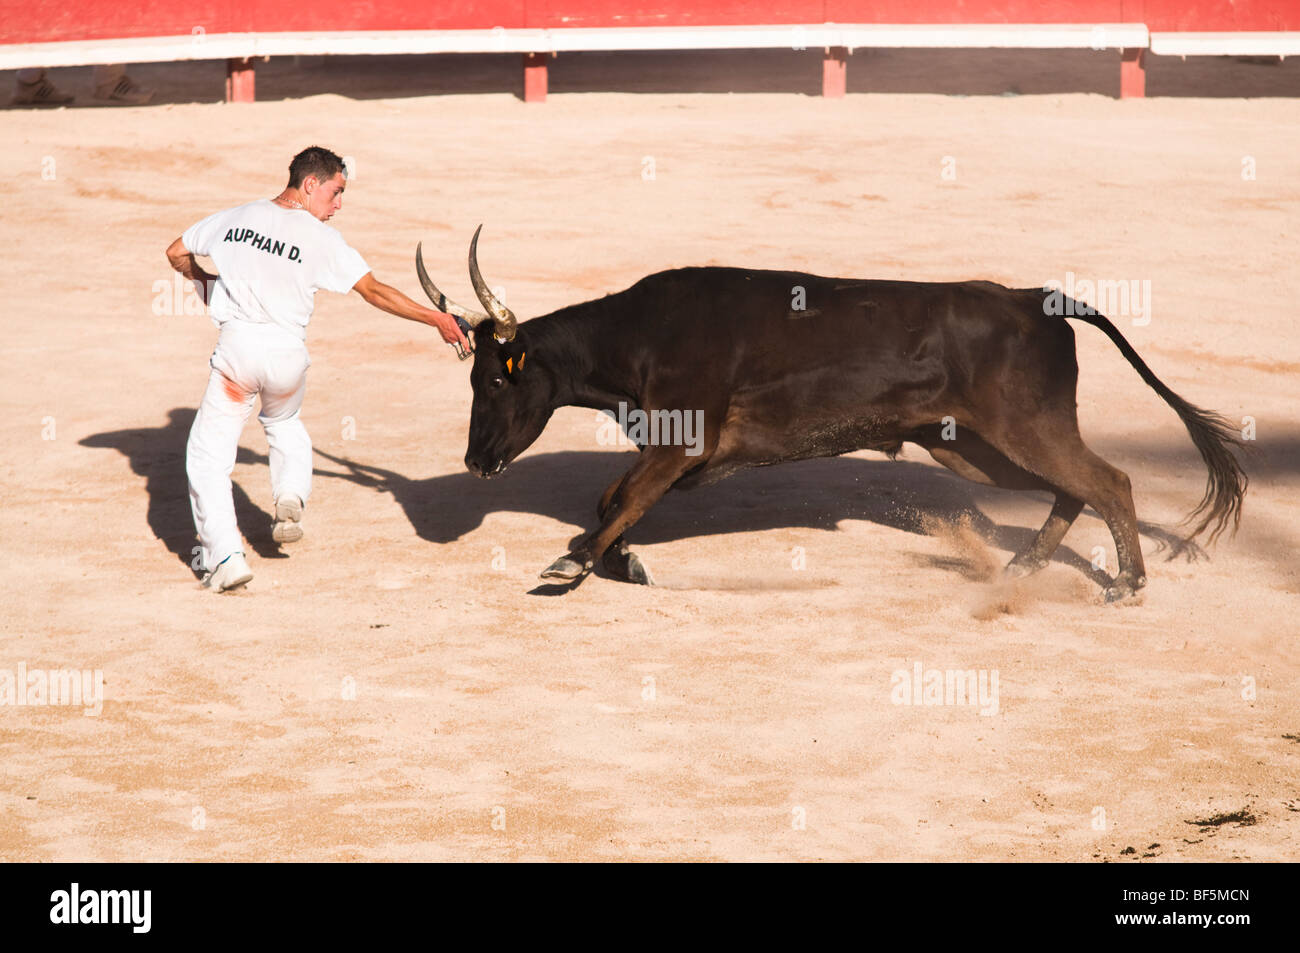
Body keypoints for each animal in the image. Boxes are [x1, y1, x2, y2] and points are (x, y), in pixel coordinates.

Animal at [418, 245, 1248, 603]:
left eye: (497, 377)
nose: (476, 461)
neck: (641, 335)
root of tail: (1033, 298)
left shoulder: (682, 442)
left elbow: (618, 502)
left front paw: (576, 564)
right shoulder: (673, 449)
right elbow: (611, 502)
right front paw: (619, 562)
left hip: (1023, 426)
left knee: (1109, 480)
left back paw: (1126, 583)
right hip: (976, 448)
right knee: (1074, 489)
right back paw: (1021, 566)